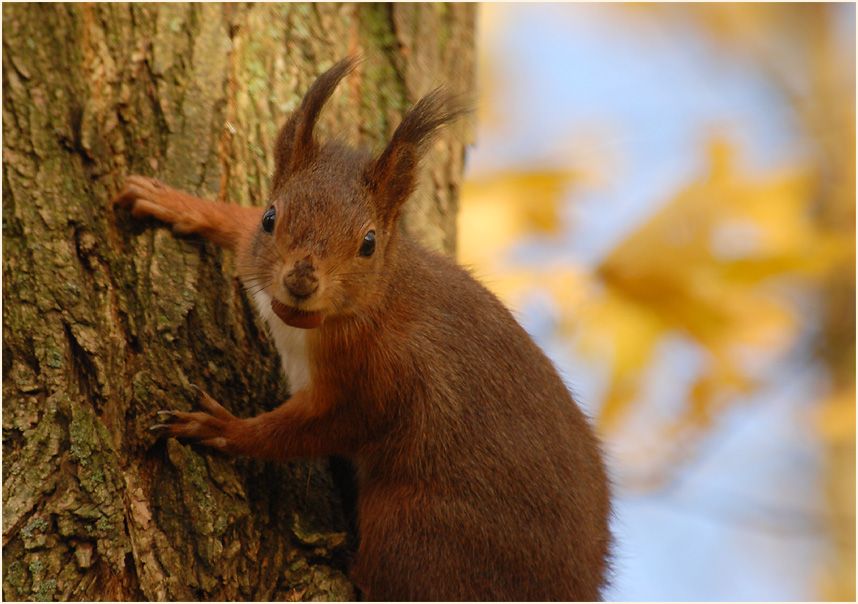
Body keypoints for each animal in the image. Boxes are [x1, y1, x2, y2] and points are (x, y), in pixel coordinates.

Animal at [113, 58, 612, 601]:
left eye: (368, 243)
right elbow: (235, 227)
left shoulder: (383, 382)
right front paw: (177, 204)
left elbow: (311, 430)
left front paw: (221, 428)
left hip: (413, 529)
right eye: (270, 216)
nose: (301, 280)